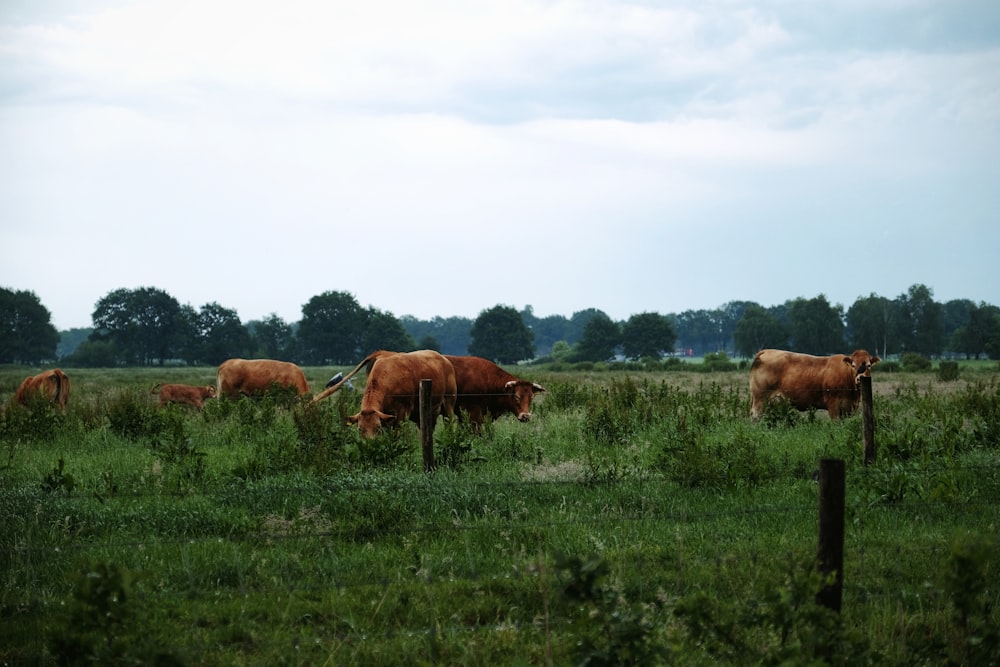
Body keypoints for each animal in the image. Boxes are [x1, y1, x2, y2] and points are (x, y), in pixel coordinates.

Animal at [312, 350, 458, 438]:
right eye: (360, 429)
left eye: (377, 428)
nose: (369, 445)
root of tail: (444, 359)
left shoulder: (402, 413)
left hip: (449, 404)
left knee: (449, 423)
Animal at [748, 348, 880, 420]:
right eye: (853, 365)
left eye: (869, 365)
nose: (860, 378)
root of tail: (766, 351)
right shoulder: (833, 406)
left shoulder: (848, 408)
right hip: (760, 398)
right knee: (755, 415)